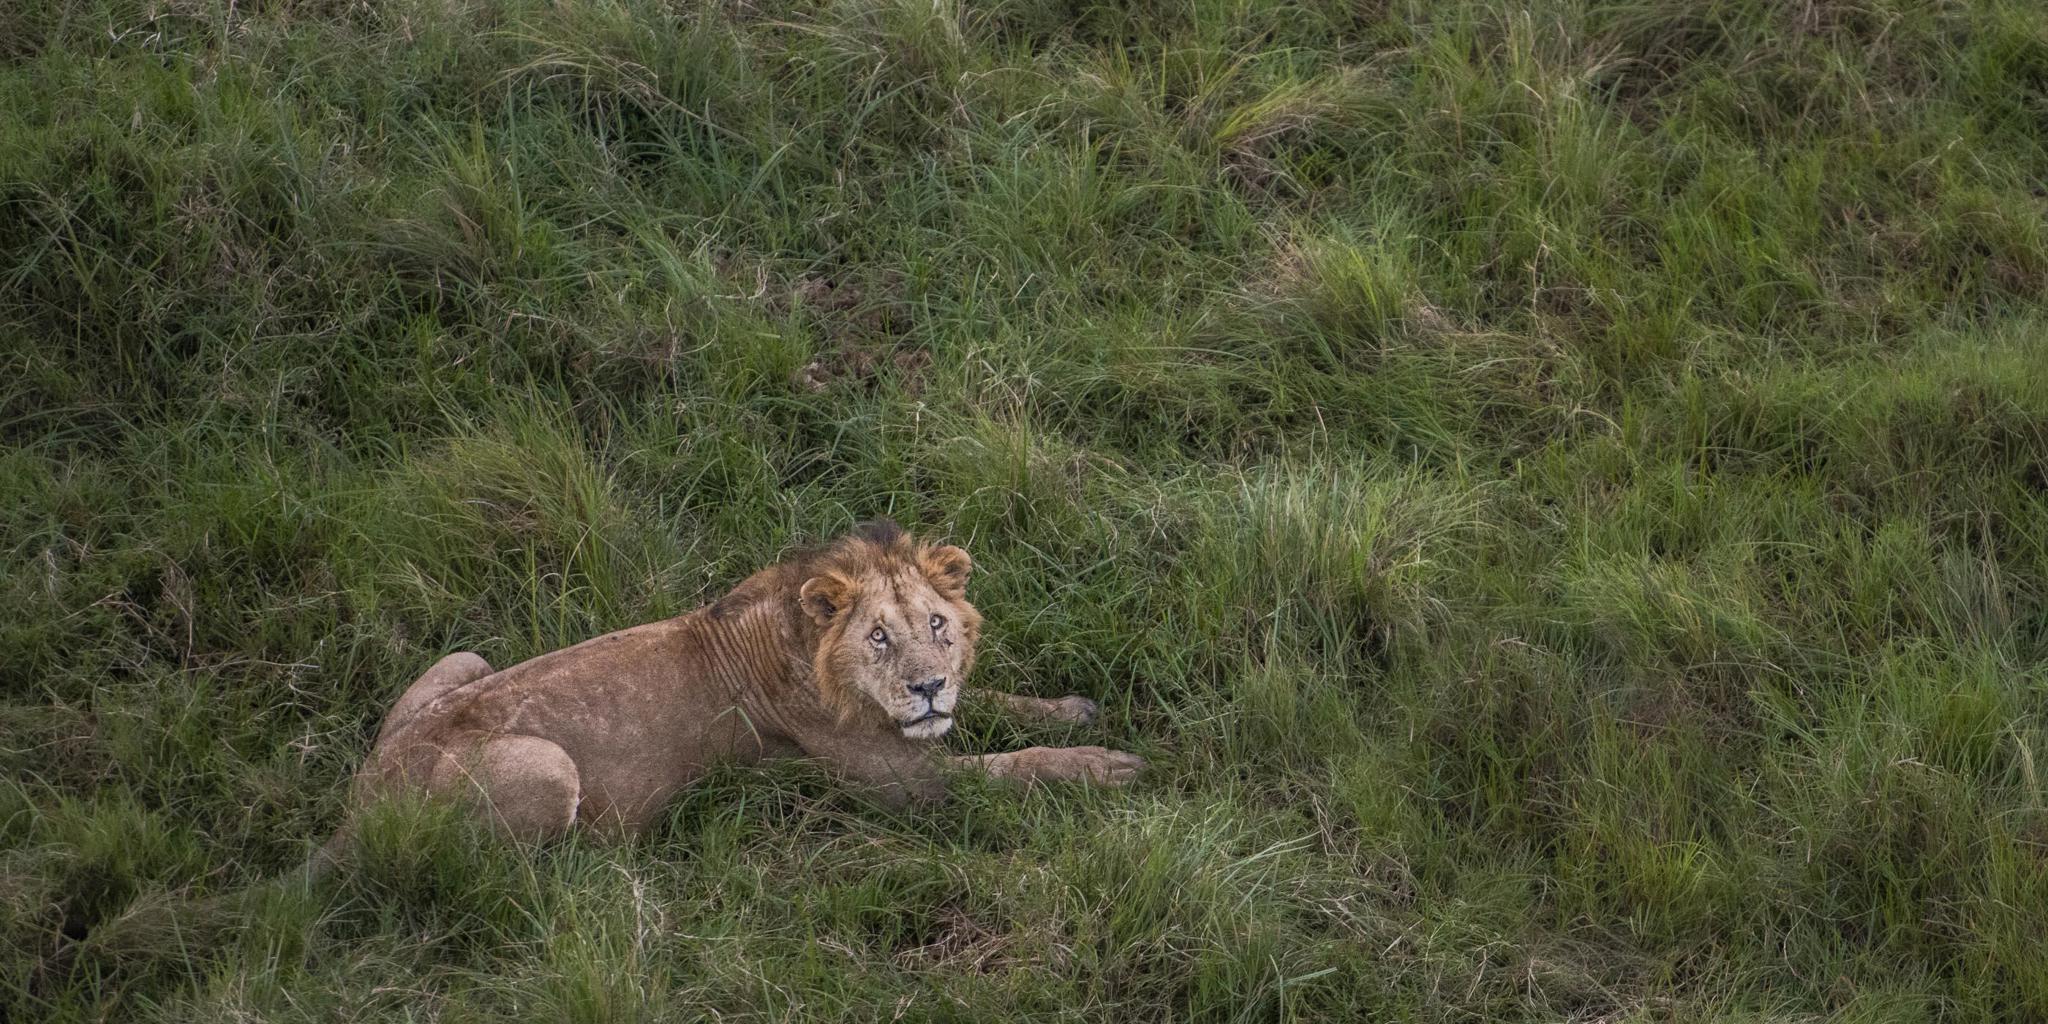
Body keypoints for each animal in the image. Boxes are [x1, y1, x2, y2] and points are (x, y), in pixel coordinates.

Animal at [346, 520, 1144, 844]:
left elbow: (990, 702)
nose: (925, 689)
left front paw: (1073, 709)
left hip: (465, 660)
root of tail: (363, 805)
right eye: (879, 637)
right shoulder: (906, 787)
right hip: (548, 766)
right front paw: (1103, 766)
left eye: (938, 625)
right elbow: (1010, 768)